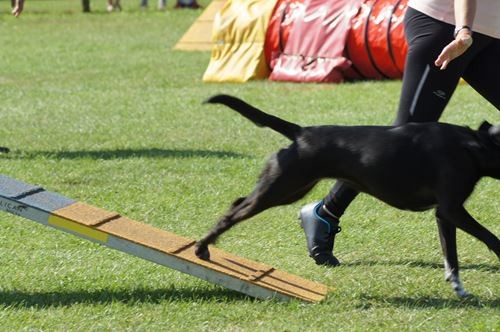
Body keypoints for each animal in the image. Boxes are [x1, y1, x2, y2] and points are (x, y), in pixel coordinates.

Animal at [195, 94, 500, 296]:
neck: (475, 145)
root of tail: (301, 133)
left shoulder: (444, 214)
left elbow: (451, 255)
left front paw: (458, 286)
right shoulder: (452, 209)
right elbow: (491, 238)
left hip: (290, 189)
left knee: (236, 203)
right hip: (278, 188)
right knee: (232, 214)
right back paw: (201, 248)